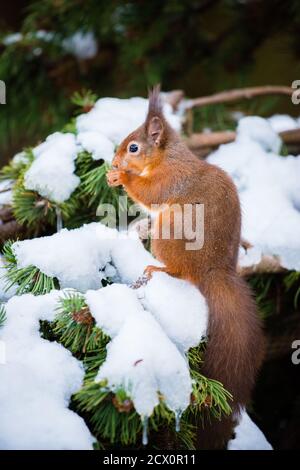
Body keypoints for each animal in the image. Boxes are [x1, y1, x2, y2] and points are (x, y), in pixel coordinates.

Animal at [107, 85, 264, 448]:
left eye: (134, 147)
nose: (115, 160)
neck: (167, 158)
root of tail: (213, 272)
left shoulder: (171, 182)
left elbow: (149, 194)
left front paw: (121, 176)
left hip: (167, 236)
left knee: (179, 272)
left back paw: (157, 270)